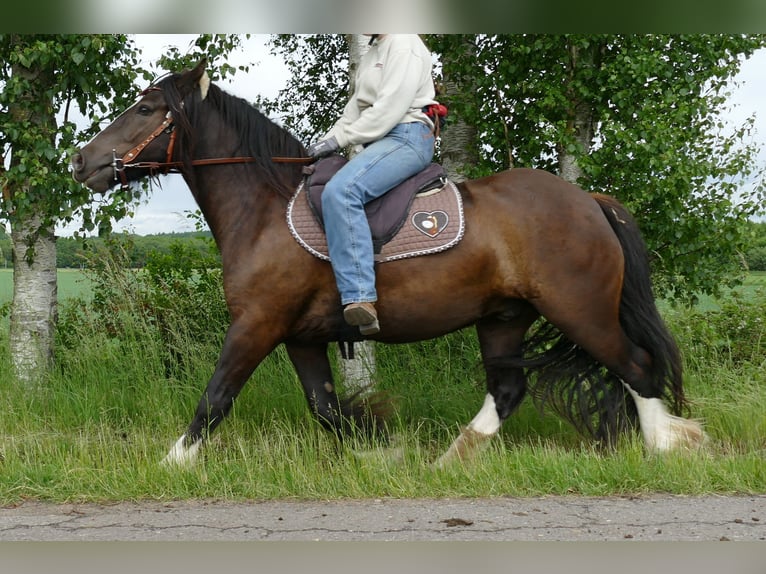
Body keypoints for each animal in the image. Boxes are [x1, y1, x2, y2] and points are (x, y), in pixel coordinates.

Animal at [70, 60, 705, 466]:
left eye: (146, 108)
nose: (81, 161)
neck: (264, 207)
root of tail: (591, 202)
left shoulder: (257, 325)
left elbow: (216, 396)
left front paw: (170, 465)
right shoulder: (300, 336)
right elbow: (326, 408)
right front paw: (378, 447)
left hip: (581, 310)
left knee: (637, 366)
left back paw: (668, 446)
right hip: (505, 317)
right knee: (508, 389)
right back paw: (450, 460)